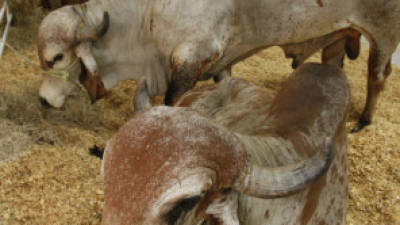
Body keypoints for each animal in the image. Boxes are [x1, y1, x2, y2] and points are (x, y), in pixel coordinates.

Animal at [36, 0, 398, 131]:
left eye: (57, 58)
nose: (42, 99)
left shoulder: (190, 59)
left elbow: (173, 103)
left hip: (383, 34)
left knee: (377, 77)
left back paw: (363, 121)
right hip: (339, 36)